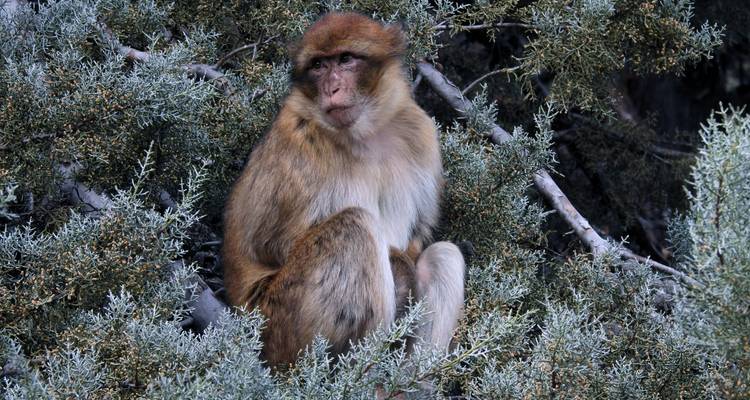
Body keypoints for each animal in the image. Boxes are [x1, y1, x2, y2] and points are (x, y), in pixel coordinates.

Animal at [222, 12, 464, 367]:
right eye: (319, 65)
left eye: (346, 59)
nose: (332, 88)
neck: (365, 134)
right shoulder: (298, 143)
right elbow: (273, 245)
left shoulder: (420, 132)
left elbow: (419, 238)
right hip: (278, 325)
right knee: (355, 226)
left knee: (443, 256)